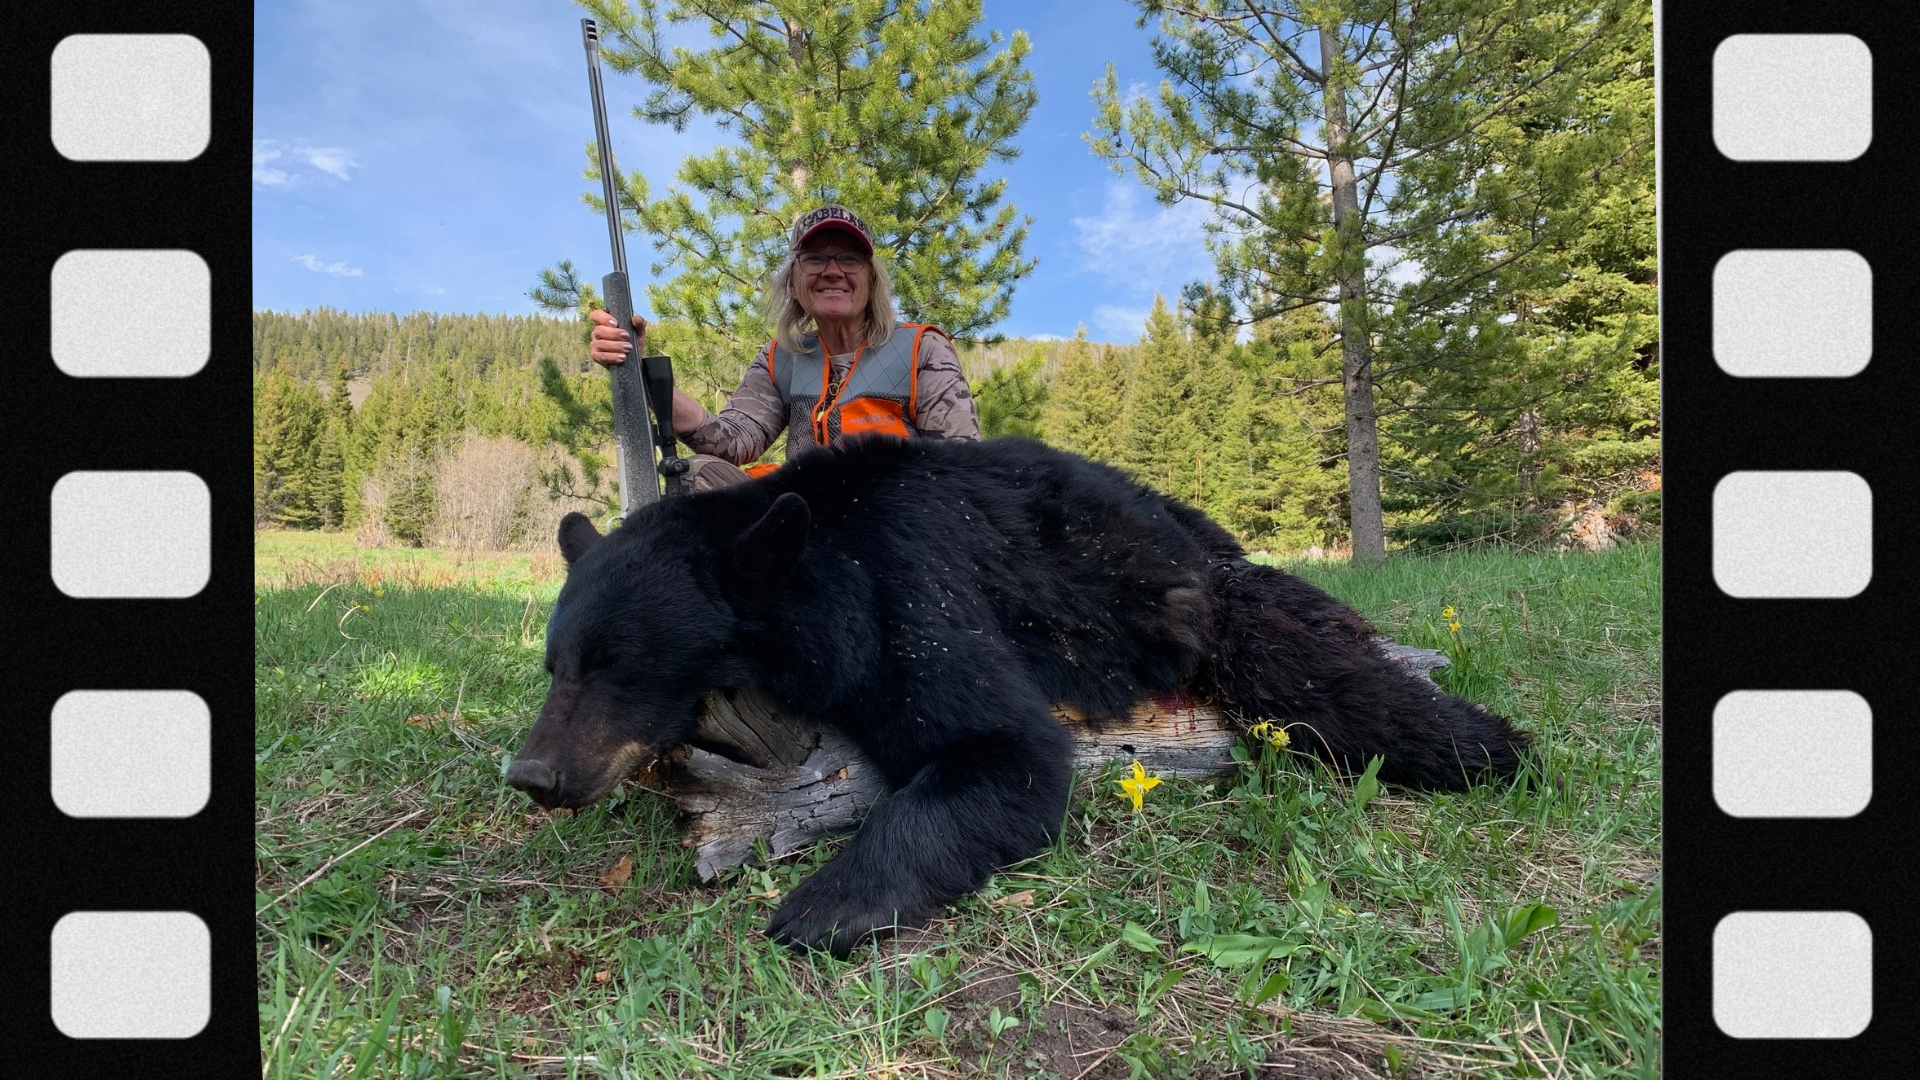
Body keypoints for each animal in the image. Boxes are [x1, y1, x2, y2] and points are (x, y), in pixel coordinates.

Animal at [508, 435, 1527, 957]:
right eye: (558, 663)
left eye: (619, 663)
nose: (531, 774)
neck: (821, 561)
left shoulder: (907, 589)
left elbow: (1005, 752)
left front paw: (823, 905)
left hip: (1209, 605)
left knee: (1314, 674)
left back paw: (1494, 744)